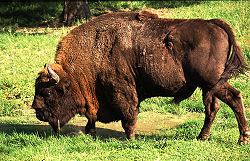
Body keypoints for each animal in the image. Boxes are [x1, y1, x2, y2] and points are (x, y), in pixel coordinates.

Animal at [32, 10, 249, 143]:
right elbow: (92, 117)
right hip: (208, 87)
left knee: (234, 97)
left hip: (214, 82)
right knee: (213, 107)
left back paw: (243, 138)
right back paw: (202, 137)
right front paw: (90, 132)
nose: (37, 111)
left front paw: (130, 139)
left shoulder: (122, 90)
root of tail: (214, 24)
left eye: (48, 93)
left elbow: (129, 115)